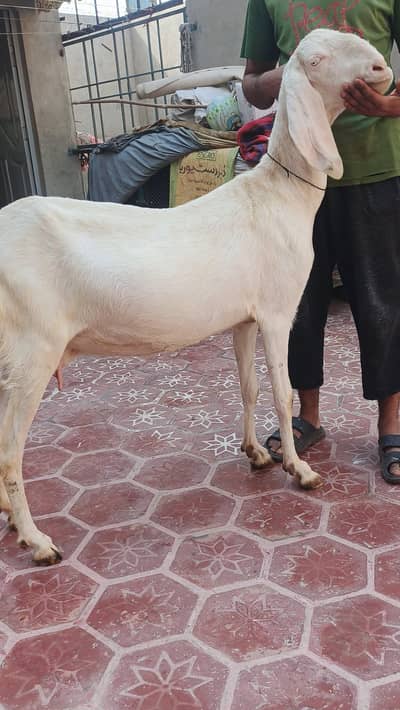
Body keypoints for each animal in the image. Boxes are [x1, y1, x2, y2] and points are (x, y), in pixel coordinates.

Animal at [0, 29, 392, 565]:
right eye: (315, 59)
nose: (380, 69)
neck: (278, 193)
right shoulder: (277, 312)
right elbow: (282, 390)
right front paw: (300, 469)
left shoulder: (244, 318)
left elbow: (249, 387)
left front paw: (257, 453)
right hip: (32, 350)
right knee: (10, 451)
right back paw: (36, 541)